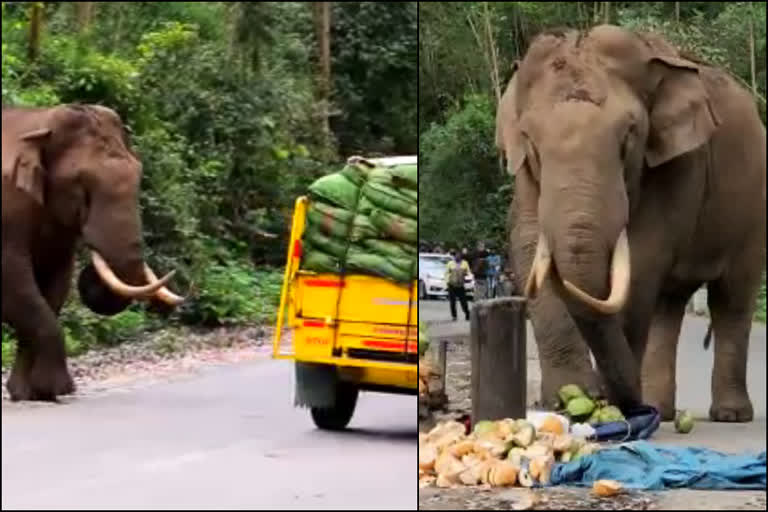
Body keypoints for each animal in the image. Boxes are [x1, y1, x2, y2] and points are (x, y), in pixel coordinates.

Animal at [1, 103, 185, 400]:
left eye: (139, 172)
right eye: (81, 184)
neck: (39, 121)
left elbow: (54, 288)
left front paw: (29, 393)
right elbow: (15, 286)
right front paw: (58, 389)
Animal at [496, 25, 764, 424]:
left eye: (628, 137)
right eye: (531, 142)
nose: (600, 398)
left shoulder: (682, 163)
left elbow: (642, 257)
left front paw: (610, 404)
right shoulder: (526, 176)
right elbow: (528, 243)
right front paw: (566, 401)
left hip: (753, 212)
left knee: (731, 299)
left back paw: (728, 414)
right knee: (669, 304)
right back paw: (660, 410)